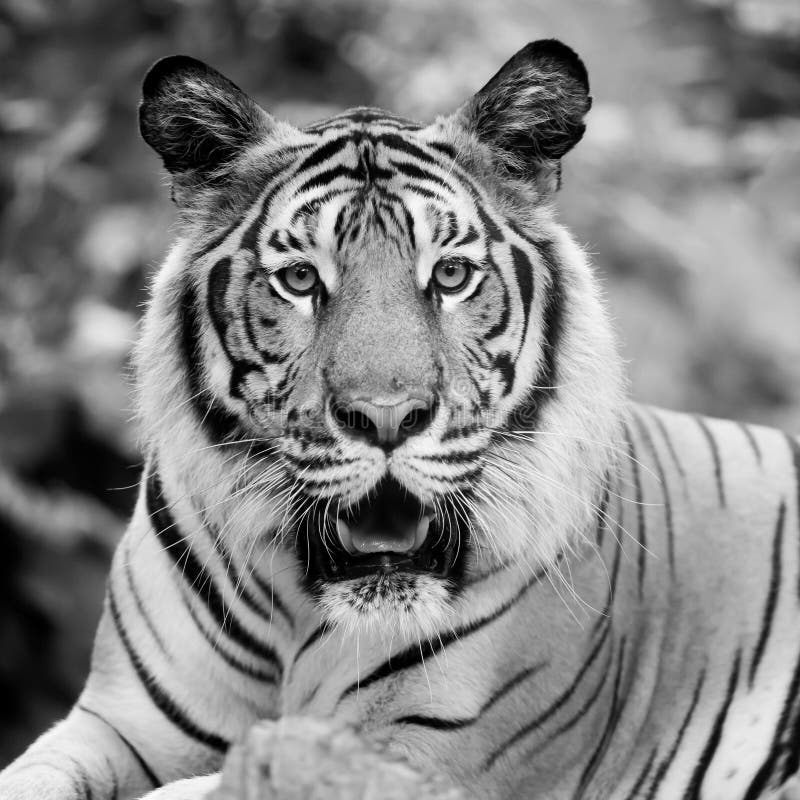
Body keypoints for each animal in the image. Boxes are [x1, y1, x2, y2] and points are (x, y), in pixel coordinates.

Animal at [1, 37, 799, 800]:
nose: (386, 419)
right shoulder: (116, 724)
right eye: (300, 279)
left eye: (450, 274)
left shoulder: (425, 755)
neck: (300, 614)